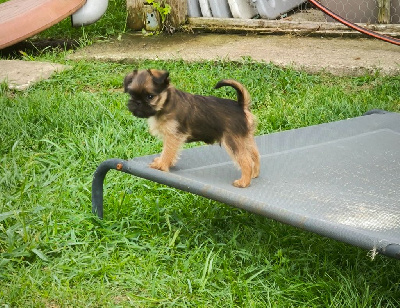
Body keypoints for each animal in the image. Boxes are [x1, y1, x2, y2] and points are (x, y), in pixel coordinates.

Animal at [124, 68, 260, 186]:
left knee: (246, 161)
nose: (137, 103)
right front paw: (166, 162)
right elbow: (171, 152)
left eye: (150, 96)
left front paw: (161, 165)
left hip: (232, 141)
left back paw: (243, 182)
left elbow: (167, 151)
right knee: (255, 155)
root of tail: (240, 106)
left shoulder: (173, 136)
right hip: (245, 138)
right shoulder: (172, 137)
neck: (166, 103)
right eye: (132, 95)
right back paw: (254, 174)